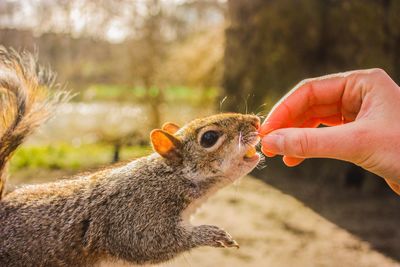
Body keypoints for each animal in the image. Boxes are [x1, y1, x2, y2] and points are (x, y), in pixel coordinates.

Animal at [0, 48, 260, 267]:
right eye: (209, 138)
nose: (256, 122)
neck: (170, 177)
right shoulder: (135, 213)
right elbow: (148, 242)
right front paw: (210, 234)